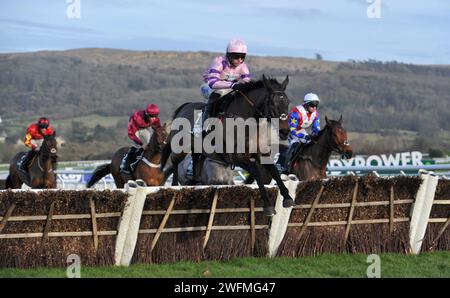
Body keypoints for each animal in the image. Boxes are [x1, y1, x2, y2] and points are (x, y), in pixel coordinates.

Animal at [160, 75, 294, 215]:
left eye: (287, 102)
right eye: (272, 103)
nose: (285, 131)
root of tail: (185, 107)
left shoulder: (261, 155)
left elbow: (275, 172)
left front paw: (288, 198)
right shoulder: (238, 157)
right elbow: (257, 173)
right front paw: (268, 205)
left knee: (195, 161)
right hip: (179, 147)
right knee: (174, 161)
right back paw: (174, 185)